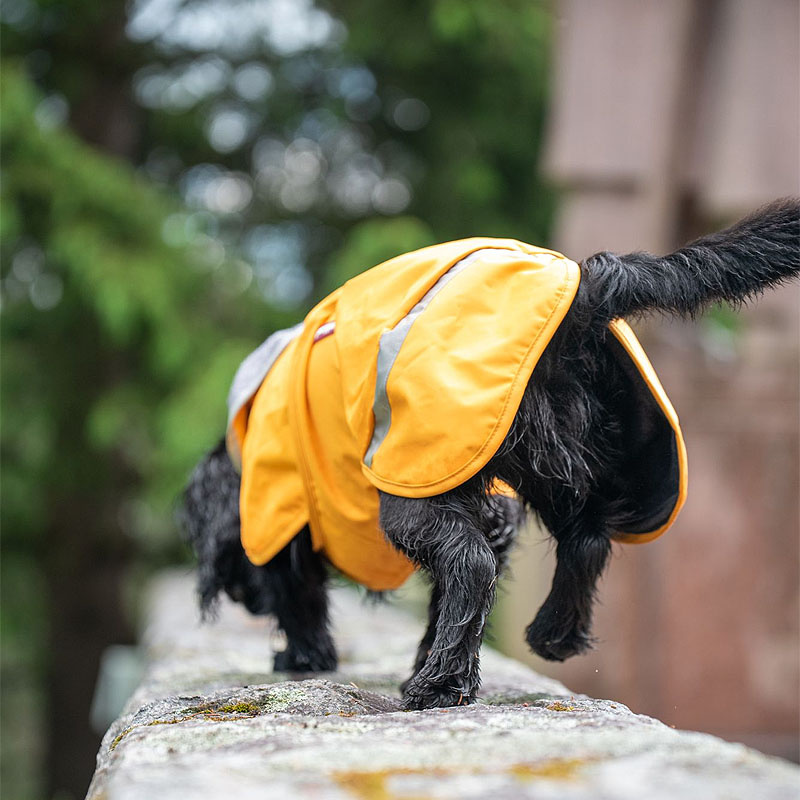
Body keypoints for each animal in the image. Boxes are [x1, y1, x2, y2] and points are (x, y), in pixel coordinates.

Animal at [183, 198, 800, 708]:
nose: (242, 600)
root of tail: (584, 293)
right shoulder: (496, 505)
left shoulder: (280, 513)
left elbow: (299, 591)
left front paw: (306, 658)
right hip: (560, 460)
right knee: (584, 541)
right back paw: (550, 635)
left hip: (418, 480)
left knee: (472, 562)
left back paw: (437, 686)